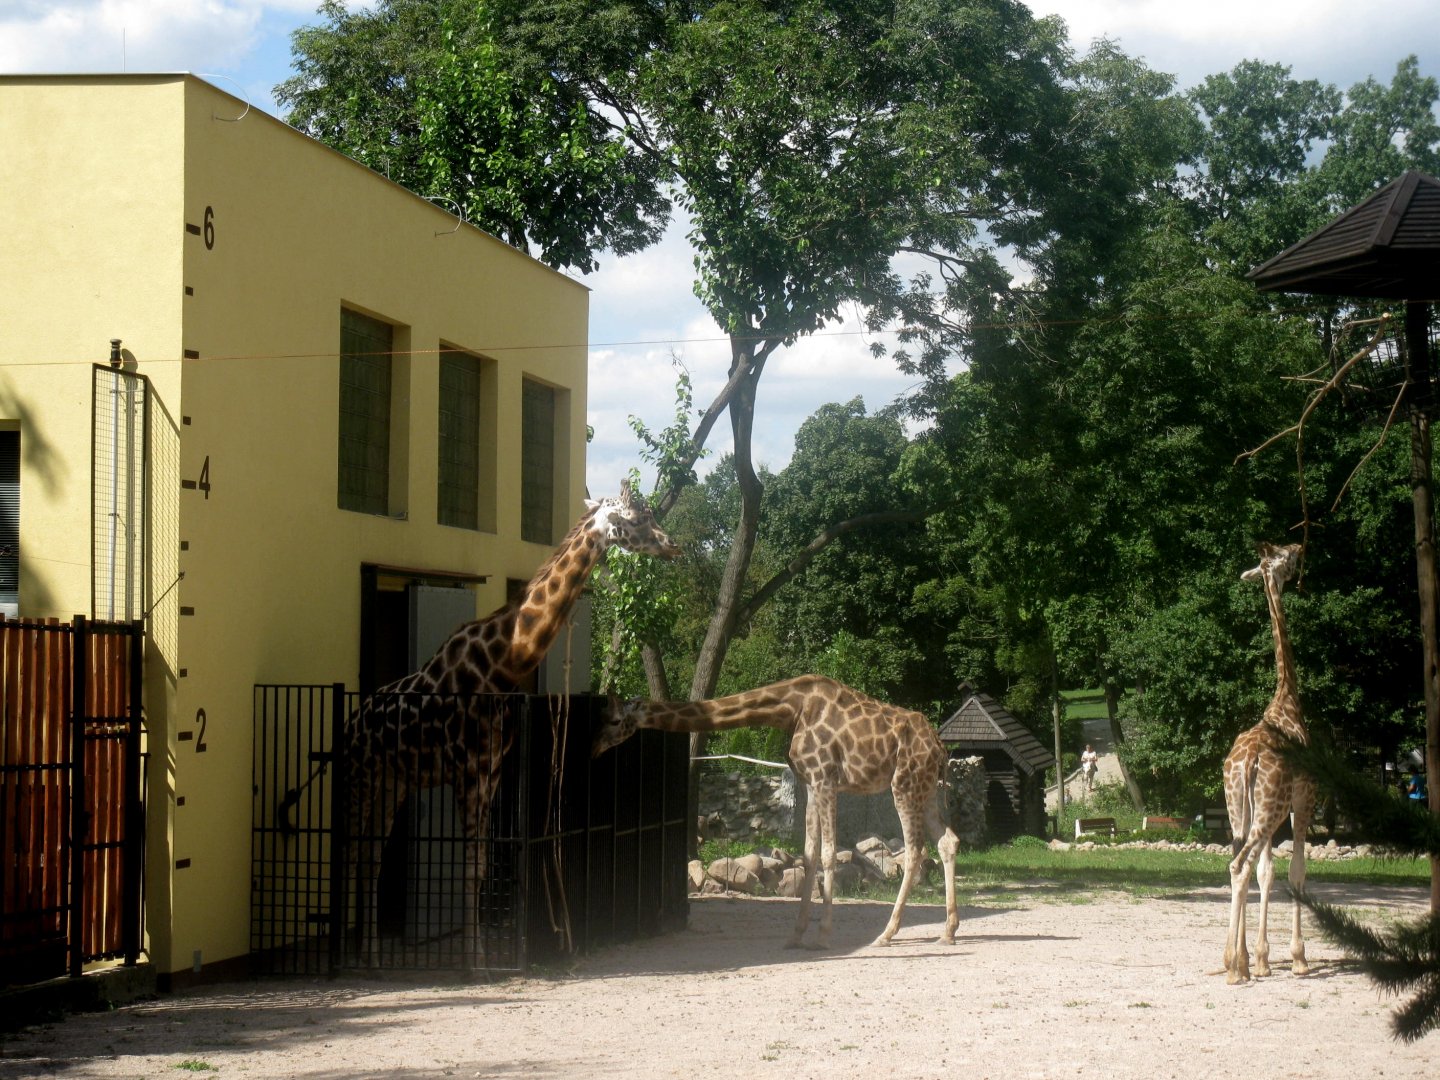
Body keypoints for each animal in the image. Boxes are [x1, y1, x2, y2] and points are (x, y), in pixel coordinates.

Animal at [281, 481, 679, 967]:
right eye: (638, 518)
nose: (673, 545)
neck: (502, 664)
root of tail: (350, 724)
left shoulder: (490, 773)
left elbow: (482, 865)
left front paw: (481, 954)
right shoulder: (468, 772)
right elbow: (469, 866)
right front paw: (475, 961)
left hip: (393, 781)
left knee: (372, 854)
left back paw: (372, 955)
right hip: (361, 775)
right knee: (350, 849)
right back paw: (342, 957)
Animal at [592, 674, 960, 949]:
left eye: (614, 720)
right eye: (602, 718)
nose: (594, 748)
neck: (790, 708)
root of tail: (939, 748)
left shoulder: (826, 779)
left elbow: (828, 853)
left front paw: (823, 936)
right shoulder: (810, 782)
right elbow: (809, 855)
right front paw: (796, 935)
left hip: (905, 785)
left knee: (915, 849)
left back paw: (887, 933)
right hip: (925, 788)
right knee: (948, 841)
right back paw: (948, 931)